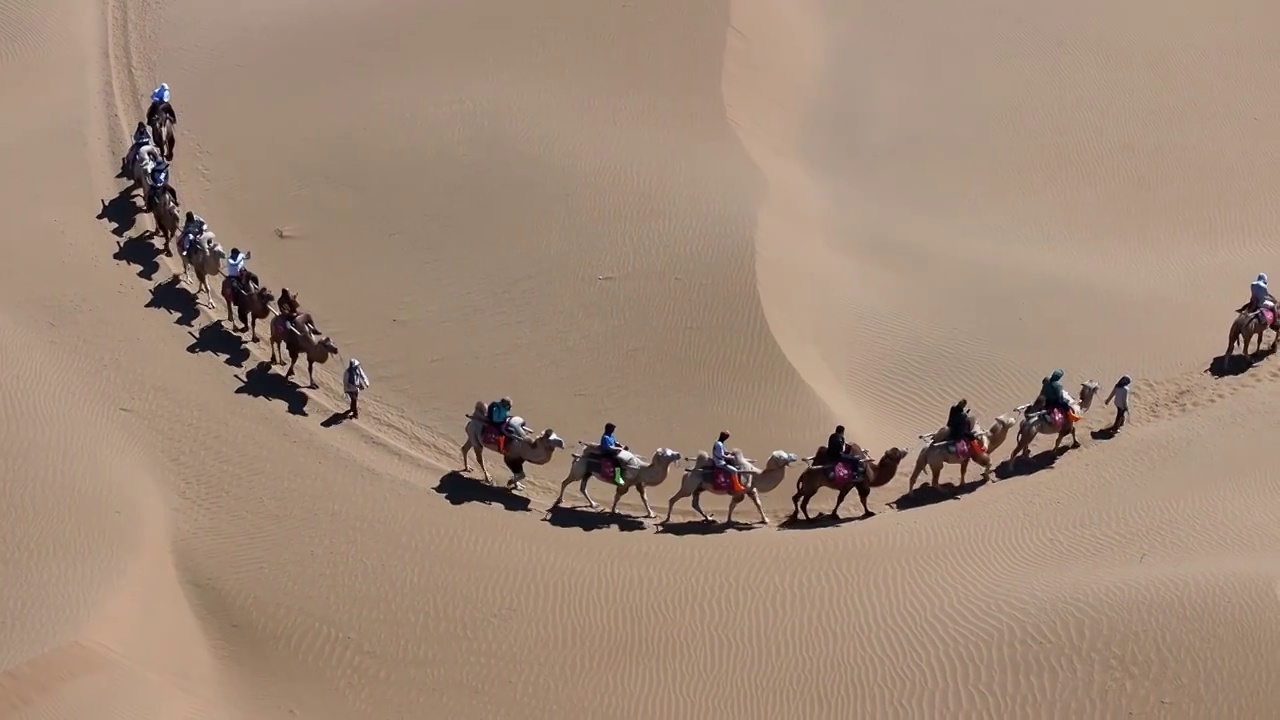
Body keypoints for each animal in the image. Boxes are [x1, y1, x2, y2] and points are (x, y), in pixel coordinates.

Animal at [550, 443, 691, 515]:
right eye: (667, 454)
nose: (678, 454)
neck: (641, 469)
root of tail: (579, 453)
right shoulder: (625, 484)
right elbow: (618, 496)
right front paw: (614, 510)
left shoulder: (639, 483)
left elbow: (644, 498)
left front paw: (651, 513)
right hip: (579, 470)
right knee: (565, 482)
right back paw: (560, 500)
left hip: (587, 472)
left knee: (582, 487)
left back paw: (593, 504)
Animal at [660, 445, 798, 525]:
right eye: (783, 456)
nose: (795, 456)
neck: (756, 475)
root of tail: (687, 472)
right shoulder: (739, 492)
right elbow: (733, 504)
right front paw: (729, 520)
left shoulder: (751, 490)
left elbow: (758, 504)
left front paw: (765, 520)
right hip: (689, 486)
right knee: (673, 499)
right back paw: (667, 519)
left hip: (699, 487)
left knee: (695, 503)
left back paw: (709, 518)